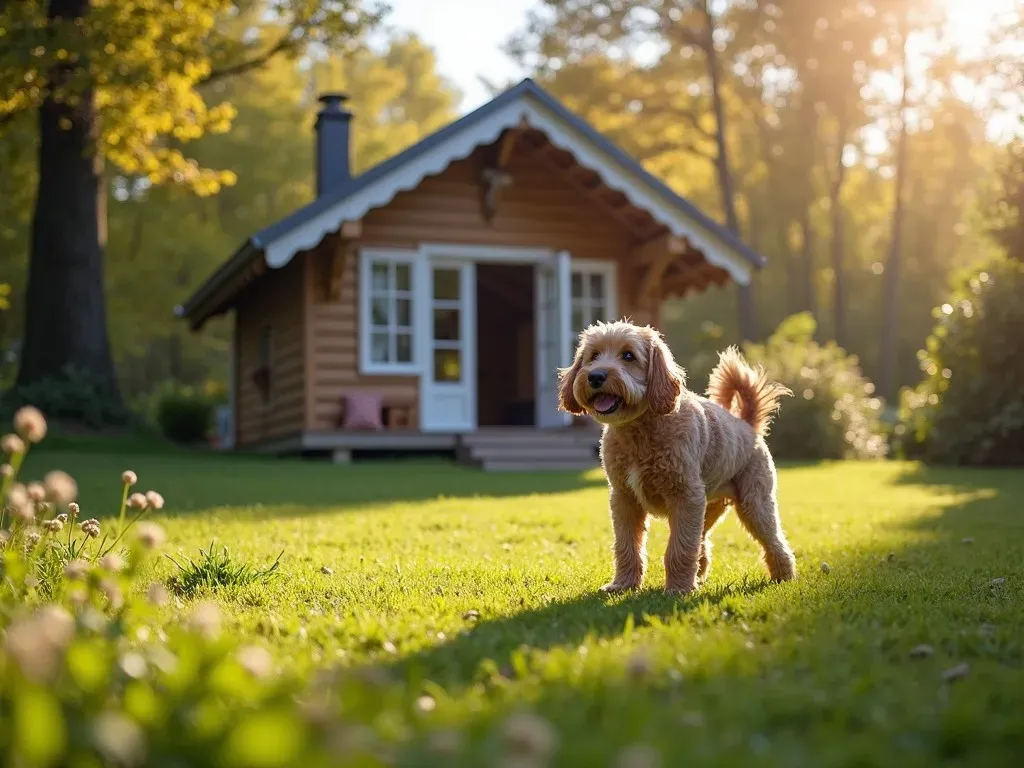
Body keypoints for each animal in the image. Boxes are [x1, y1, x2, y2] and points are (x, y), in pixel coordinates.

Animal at [557, 319, 794, 593]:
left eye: (628, 355)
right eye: (593, 356)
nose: (595, 376)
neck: (640, 432)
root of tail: (746, 424)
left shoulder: (685, 497)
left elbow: (679, 548)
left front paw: (678, 590)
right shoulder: (624, 500)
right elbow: (627, 546)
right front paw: (623, 584)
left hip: (754, 504)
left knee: (774, 540)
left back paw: (783, 576)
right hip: (708, 509)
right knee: (702, 543)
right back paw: (699, 576)